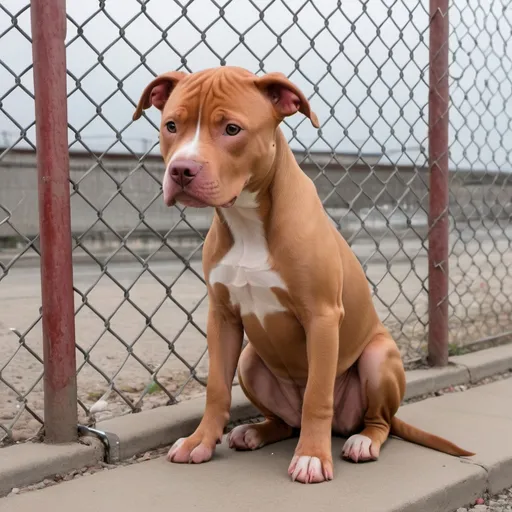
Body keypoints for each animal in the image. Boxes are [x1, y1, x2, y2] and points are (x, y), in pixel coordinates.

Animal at [133, 67, 476, 484]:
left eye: (232, 129)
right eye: (171, 125)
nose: (182, 169)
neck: (247, 220)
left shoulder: (322, 316)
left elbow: (317, 395)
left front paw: (312, 457)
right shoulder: (222, 316)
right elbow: (216, 387)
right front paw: (200, 441)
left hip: (377, 357)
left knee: (376, 420)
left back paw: (362, 441)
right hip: (249, 360)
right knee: (286, 421)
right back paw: (257, 432)